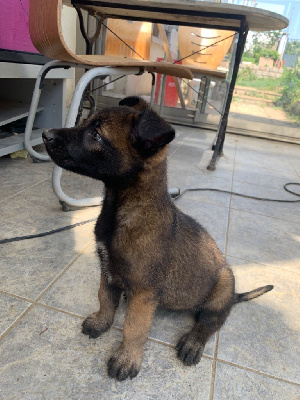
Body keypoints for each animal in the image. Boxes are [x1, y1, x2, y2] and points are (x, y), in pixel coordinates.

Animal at [42, 96, 274, 382]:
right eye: (85, 122)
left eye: (96, 135)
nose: (45, 134)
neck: (125, 211)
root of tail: (234, 295)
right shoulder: (107, 271)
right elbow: (105, 299)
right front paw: (101, 322)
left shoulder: (144, 291)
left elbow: (134, 327)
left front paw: (127, 359)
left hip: (222, 285)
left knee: (210, 322)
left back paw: (193, 342)